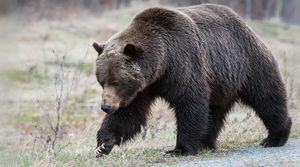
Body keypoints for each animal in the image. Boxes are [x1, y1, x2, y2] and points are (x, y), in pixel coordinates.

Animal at [92, 3, 292, 156]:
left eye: (116, 82)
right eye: (102, 81)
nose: (106, 106)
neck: (161, 62)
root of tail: (245, 24)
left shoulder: (181, 61)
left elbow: (190, 100)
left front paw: (179, 149)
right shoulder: (144, 86)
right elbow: (129, 112)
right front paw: (104, 143)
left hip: (246, 62)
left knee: (267, 97)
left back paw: (275, 137)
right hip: (220, 83)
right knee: (214, 112)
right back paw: (206, 143)